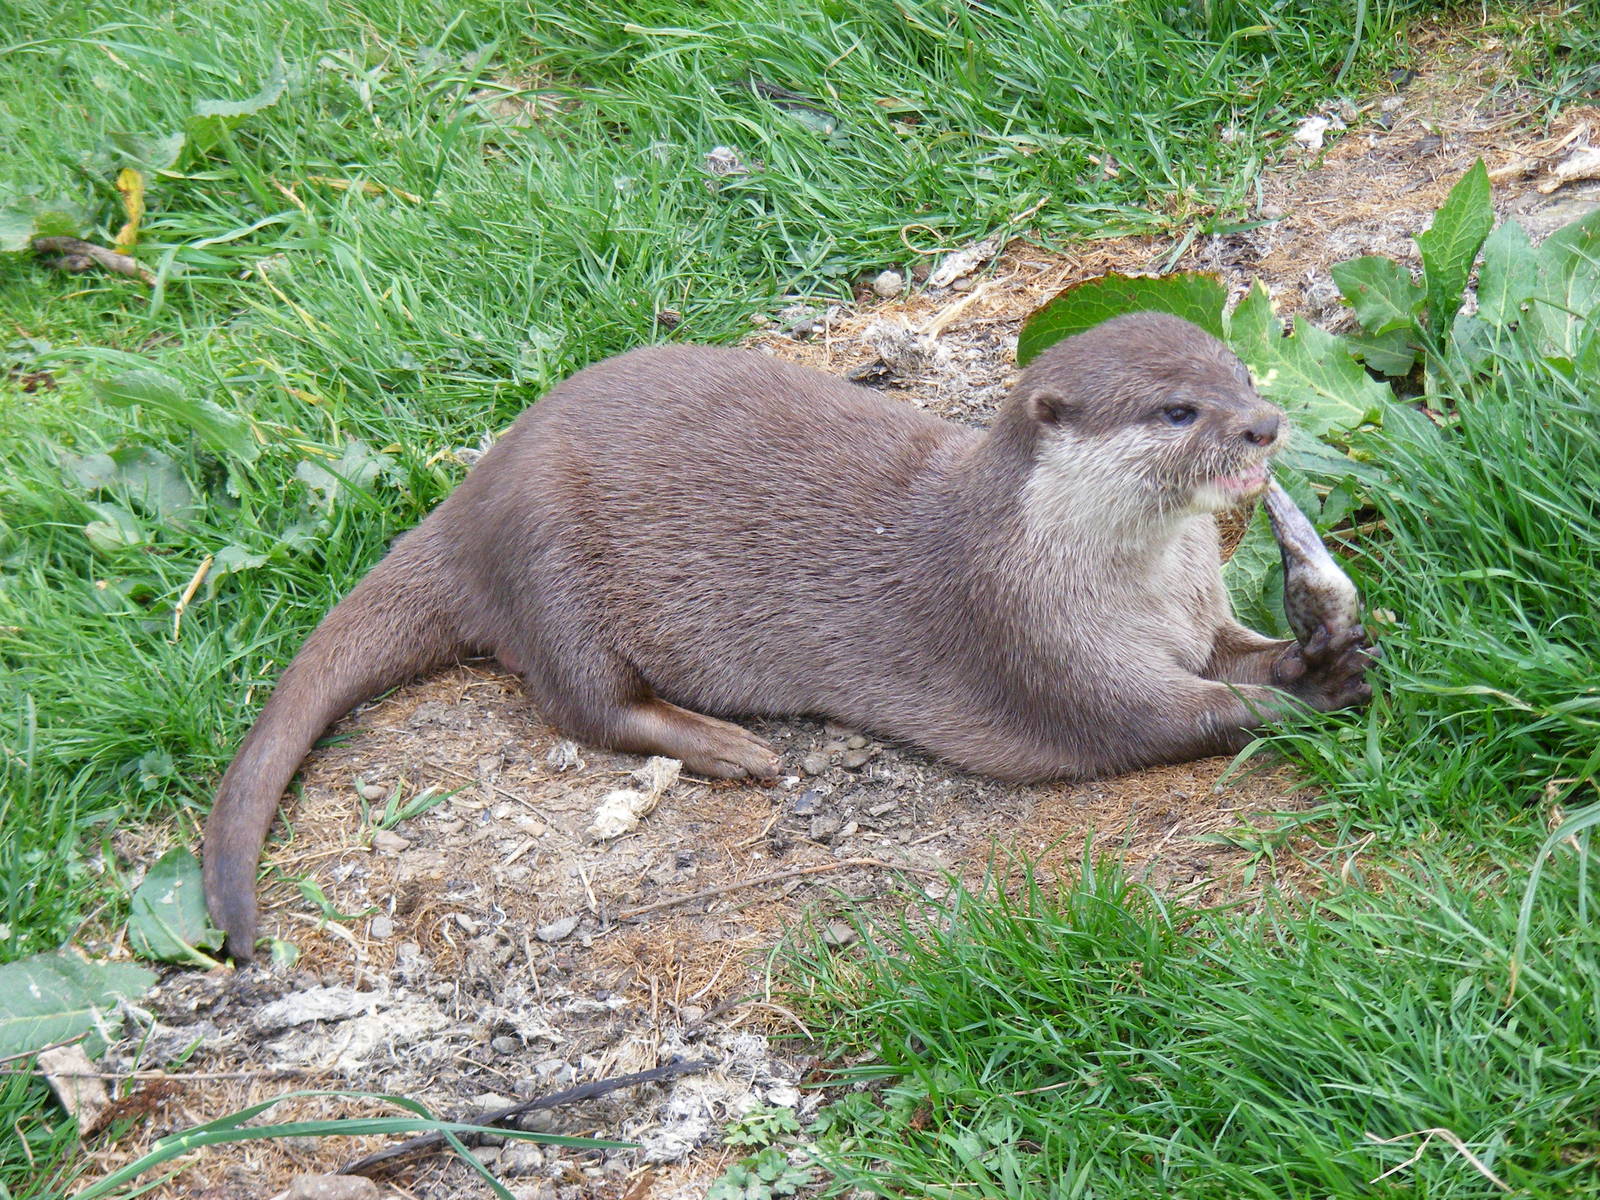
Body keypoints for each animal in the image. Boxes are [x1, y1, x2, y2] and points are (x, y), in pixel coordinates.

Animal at [203, 312, 1373, 959]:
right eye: (1176, 410)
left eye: (1241, 375)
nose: (1265, 425)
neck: (1124, 579)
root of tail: (469, 498)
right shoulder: (1040, 647)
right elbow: (1175, 713)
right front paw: (1305, 694)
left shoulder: (1196, 612)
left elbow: (1230, 659)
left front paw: (1322, 650)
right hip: (550, 564)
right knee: (585, 704)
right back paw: (733, 747)